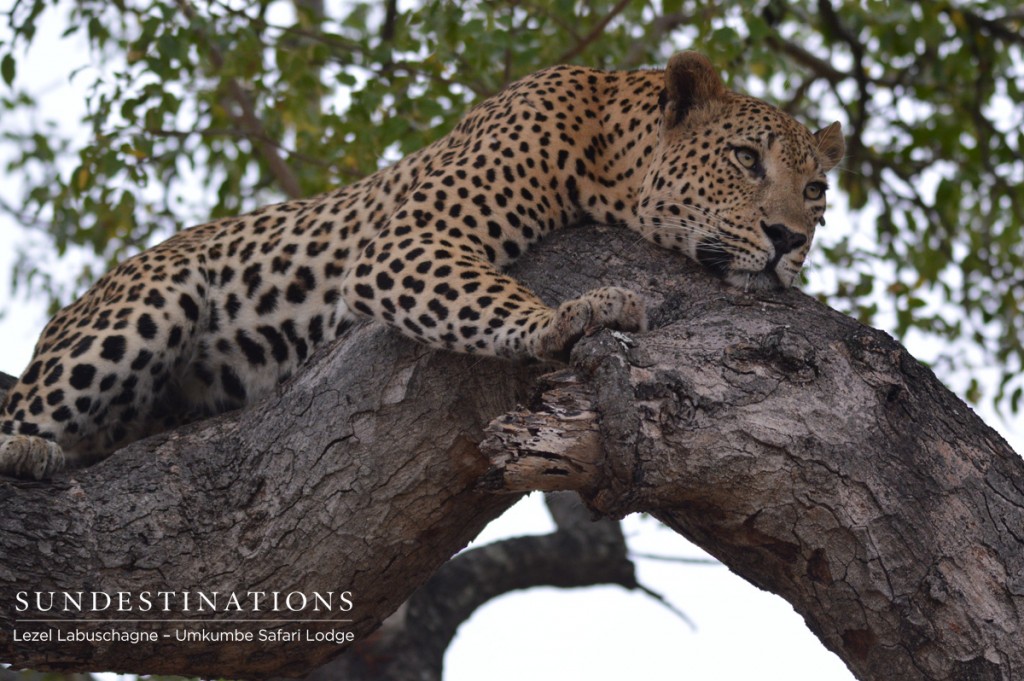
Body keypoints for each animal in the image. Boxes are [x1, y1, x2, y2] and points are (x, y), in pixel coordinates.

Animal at [0, 51, 839, 477]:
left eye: (818, 190)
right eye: (745, 158)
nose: (788, 239)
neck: (611, 155)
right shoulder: (406, 240)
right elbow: (490, 295)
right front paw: (575, 316)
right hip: (150, 297)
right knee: (25, 408)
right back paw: (26, 448)